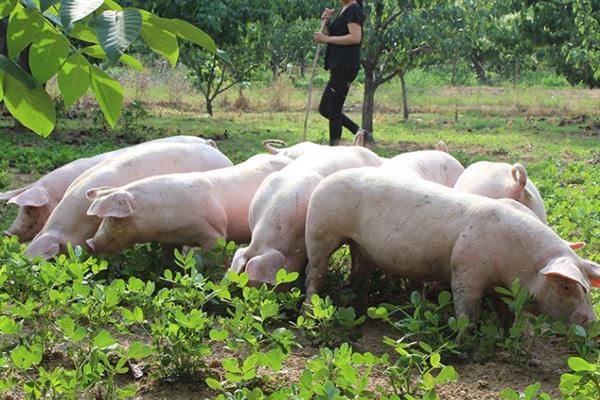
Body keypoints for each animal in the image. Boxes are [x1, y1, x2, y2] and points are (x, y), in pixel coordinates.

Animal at [304, 167, 600, 326]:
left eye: (586, 288)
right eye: (566, 287)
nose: (592, 321)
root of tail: (325, 180)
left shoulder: (499, 285)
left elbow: (505, 313)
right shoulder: (466, 271)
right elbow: (467, 312)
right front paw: (463, 345)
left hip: (361, 245)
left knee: (359, 274)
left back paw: (361, 312)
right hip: (321, 231)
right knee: (314, 272)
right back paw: (309, 310)